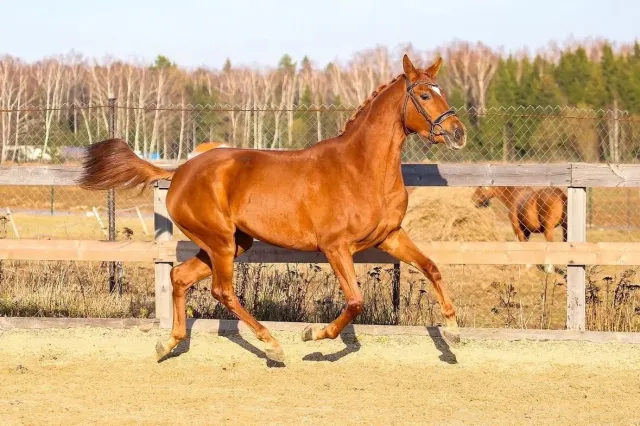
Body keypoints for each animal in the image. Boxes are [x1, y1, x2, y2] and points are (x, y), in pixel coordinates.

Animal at [79, 54, 467, 363]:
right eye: (424, 94)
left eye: (442, 91)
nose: (458, 132)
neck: (362, 169)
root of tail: (179, 173)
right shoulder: (336, 247)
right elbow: (356, 301)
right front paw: (314, 335)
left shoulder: (390, 236)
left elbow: (432, 268)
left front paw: (453, 331)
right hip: (220, 242)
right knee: (222, 291)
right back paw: (272, 345)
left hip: (233, 243)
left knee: (180, 277)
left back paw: (168, 345)